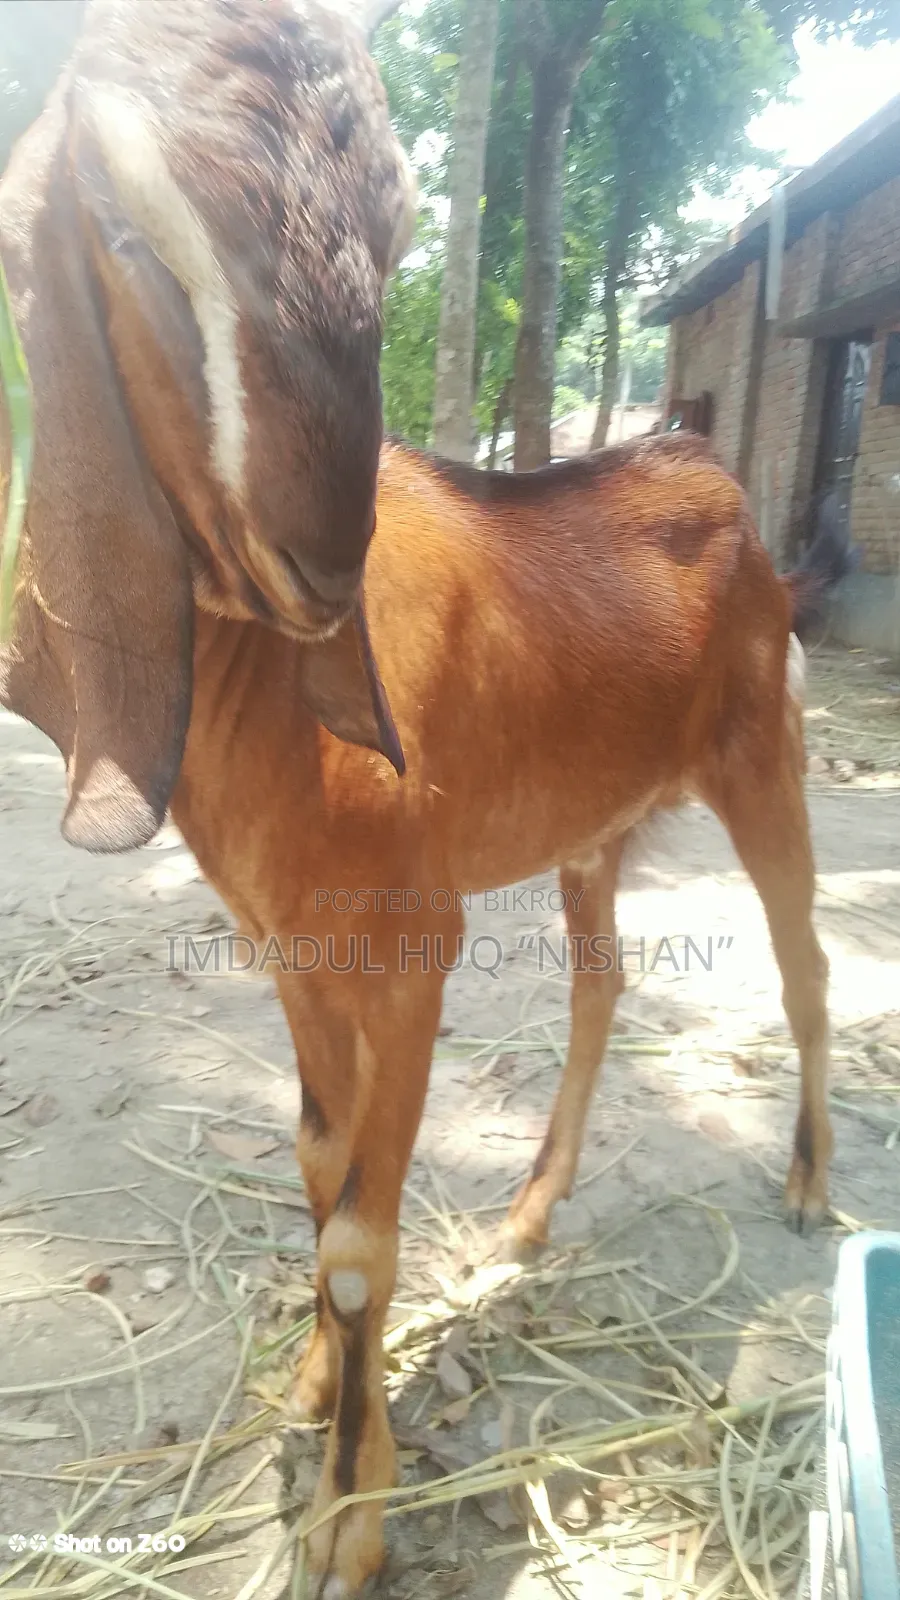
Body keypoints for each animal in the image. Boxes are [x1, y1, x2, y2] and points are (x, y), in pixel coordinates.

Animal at [4, 416, 831, 1593]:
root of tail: (713, 478)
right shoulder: (293, 949)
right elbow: (320, 1164)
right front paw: (318, 1389)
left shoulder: (410, 951)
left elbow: (357, 1242)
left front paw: (350, 1520)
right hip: (593, 827)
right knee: (599, 985)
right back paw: (528, 1214)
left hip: (764, 760)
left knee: (804, 968)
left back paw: (808, 1178)